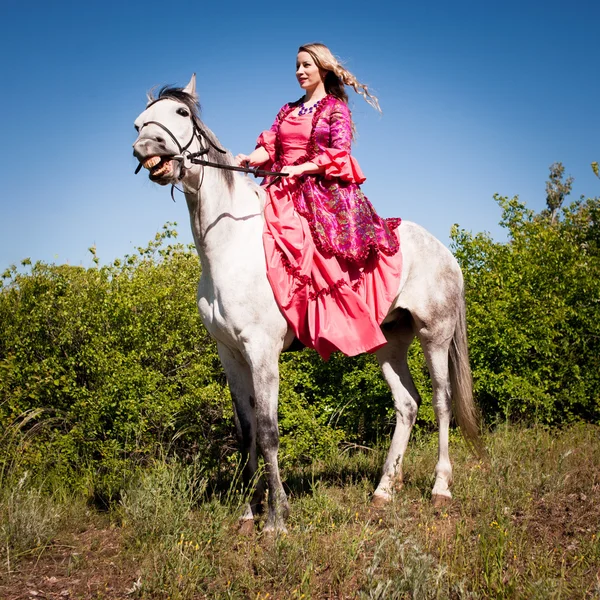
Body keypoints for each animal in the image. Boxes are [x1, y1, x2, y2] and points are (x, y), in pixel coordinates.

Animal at [132, 74, 482, 528]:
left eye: (181, 113)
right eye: (139, 123)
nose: (145, 148)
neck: (229, 247)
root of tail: (446, 253)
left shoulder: (262, 350)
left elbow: (268, 430)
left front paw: (276, 518)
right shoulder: (230, 353)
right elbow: (246, 431)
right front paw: (248, 512)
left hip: (435, 336)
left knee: (442, 401)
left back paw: (440, 488)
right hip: (389, 342)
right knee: (407, 404)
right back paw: (384, 490)